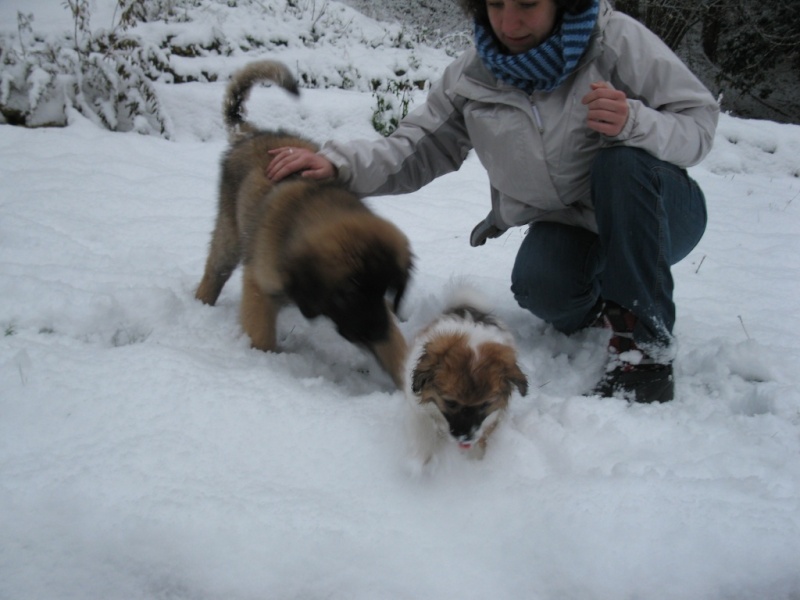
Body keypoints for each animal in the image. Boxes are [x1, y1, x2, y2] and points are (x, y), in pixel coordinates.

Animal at [195, 61, 412, 386]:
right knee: (214, 272)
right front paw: (266, 362)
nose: (378, 332)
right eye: (348, 294)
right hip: (229, 235)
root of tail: (250, 133)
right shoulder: (260, 284)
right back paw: (200, 304)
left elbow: (398, 352)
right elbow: (261, 335)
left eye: (383, 290)